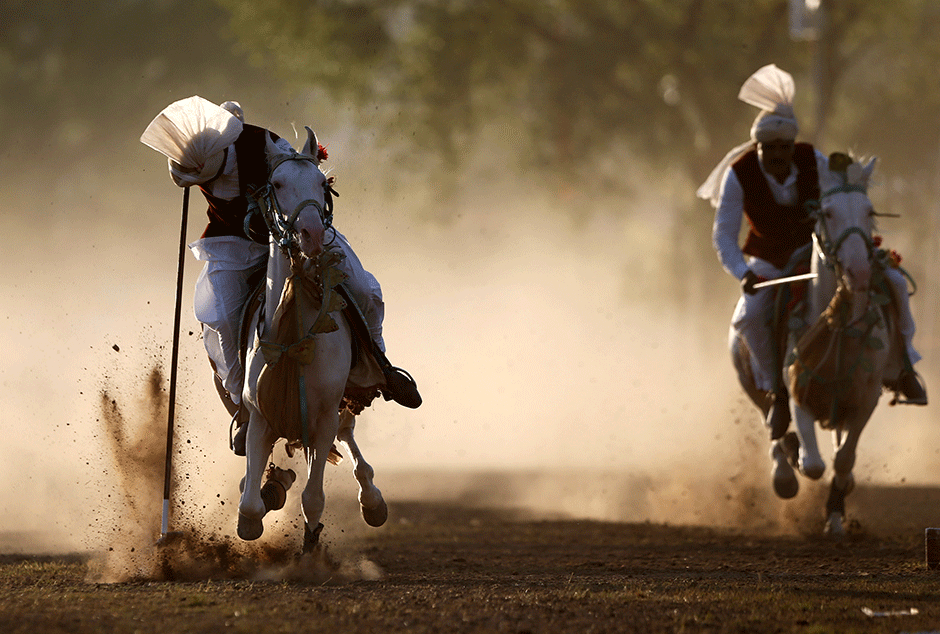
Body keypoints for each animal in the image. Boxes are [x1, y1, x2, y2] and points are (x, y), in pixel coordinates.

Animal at [237, 126, 388, 552]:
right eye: (276, 183)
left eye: (323, 183)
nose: (313, 234)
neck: (295, 337)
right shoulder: (260, 416)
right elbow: (250, 508)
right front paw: (268, 490)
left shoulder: (321, 419)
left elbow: (313, 498)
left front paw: (311, 549)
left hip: (344, 401)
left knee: (348, 432)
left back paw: (372, 500)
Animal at [732, 153, 908, 532]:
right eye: (827, 212)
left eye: (869, 211)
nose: (859, 271)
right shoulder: (799, 392)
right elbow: (812, 463)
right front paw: (796, 462)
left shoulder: (865, 399)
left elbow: (843, 459)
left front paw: (836, 515)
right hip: (752, 383)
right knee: (773, 424)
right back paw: (784, 472)